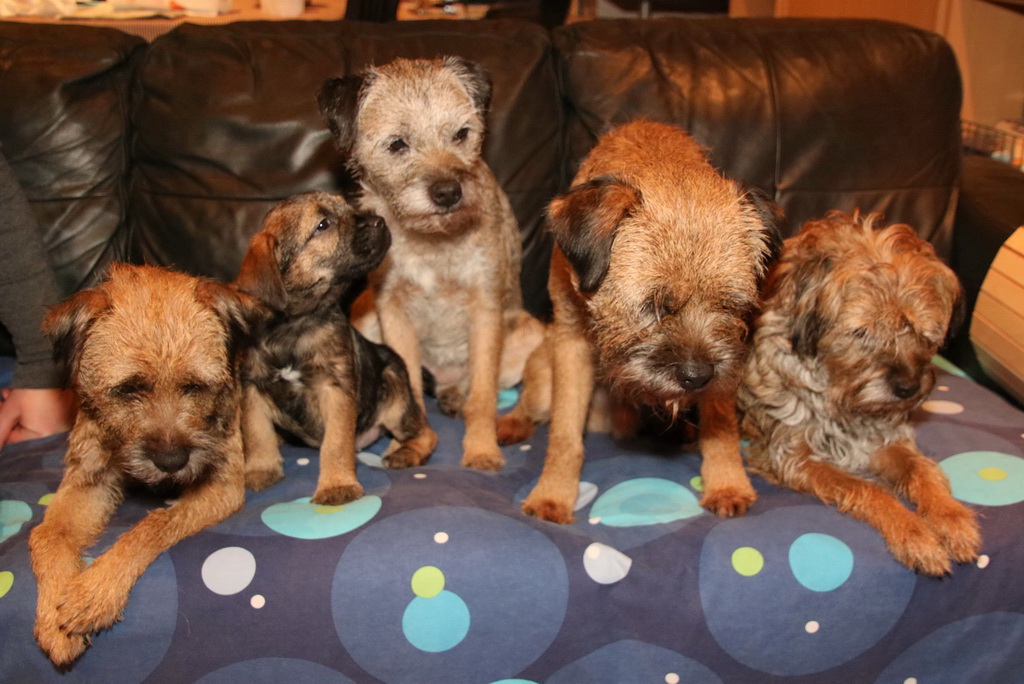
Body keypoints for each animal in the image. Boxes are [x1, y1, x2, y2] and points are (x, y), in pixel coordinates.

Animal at [29, 263, 259, 667]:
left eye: (195, 386)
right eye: (128, 389)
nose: (171, 461)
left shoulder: (222, 485)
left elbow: (154, 524)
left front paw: (95, 590)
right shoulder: (88, 481)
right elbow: (47, 534)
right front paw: (53, 618)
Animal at [234, 192, 437, 505]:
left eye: (347, 206)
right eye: (323, 224)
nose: (380, 220)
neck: (294, 326)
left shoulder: (335, 390)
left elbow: (336, 443)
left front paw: (336, 485)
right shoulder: (253, 388)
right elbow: (257, 433)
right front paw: (260, 469)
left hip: (395, 394)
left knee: (427, 432)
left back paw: (405, 453)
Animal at [318, 56, 544, 473]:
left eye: (461, 134)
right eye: (397, 144)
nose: (449, 192)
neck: (432, 241)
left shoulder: (485, 308)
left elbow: (484, 391)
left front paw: (482, 450)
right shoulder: (392, 310)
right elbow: (408, 385)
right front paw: (411, 442)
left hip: (529, 332)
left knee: (471, 384)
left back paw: (457, 400)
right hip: (366, 320)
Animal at [496, 119, 782, 524]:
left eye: (729, 304)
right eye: (654, 307)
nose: (697, 377)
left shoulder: (726, 361)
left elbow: (721, 424)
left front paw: (728, 483)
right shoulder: (571, 344)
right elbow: (564, 434)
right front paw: (553, 496)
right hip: (542, 370)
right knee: (533, 404)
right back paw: (511, 423)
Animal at [738, 211, 980, 576]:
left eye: (922, 332)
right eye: (862, 332)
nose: (907, 388)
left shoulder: (887, 439)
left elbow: (923, 471)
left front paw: (952, 519)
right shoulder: (795, 456)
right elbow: (869, 489)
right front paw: (914, 534)